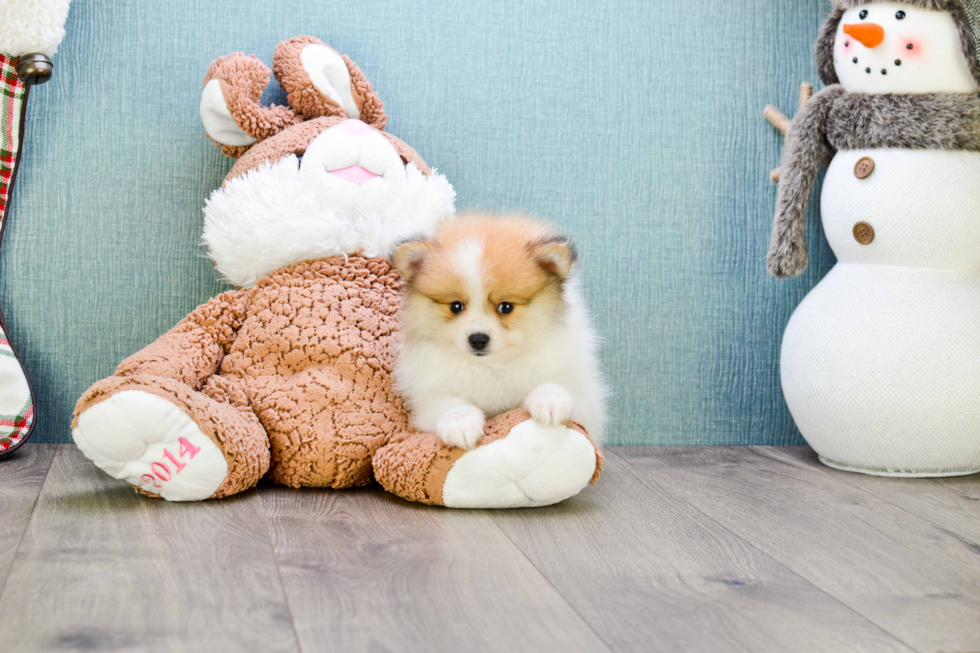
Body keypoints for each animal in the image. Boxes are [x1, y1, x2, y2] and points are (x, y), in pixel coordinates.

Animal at [390, 213, 604, 448]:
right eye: (455, 306)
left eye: (506, 307)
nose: (478, 339)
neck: (494, 367)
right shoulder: (429, 396)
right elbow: (447, 402)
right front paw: (460, 423)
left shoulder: (584, 397)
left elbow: (557, 385)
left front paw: (549, 399)